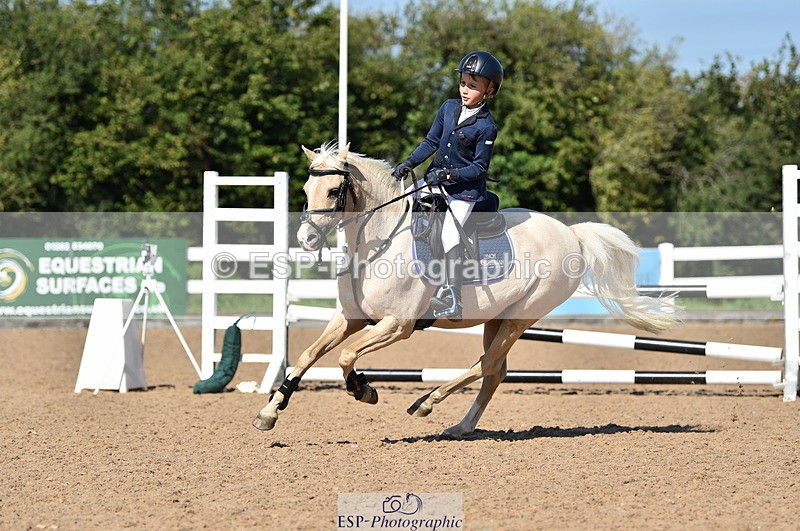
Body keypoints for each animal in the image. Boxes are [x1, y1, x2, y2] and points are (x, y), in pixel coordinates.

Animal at [253, 142, 680, 438]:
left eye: (333, 191)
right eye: (306, 187)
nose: (306, 239)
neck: (378, 242)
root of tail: (571, 234)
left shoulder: (396, 325)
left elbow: (345, 357)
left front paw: (364, 390)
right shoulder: (351, 318)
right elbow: (308, 355)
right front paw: (269, 412)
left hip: (521, 317)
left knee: (488, 364)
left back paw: (427, 403)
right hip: (497, 319)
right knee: (495, 370)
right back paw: (459, 426)